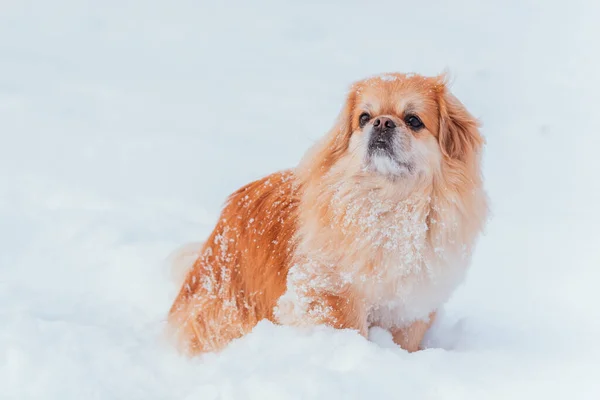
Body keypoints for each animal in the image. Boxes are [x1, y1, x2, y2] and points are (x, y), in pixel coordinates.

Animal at [166, 72, 486, 354]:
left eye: (413, 121)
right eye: (364, 118)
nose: (383, 122)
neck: (389, 203)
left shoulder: (411, 304)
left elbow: (406, 340)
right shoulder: (330, 291)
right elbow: (348, 327)